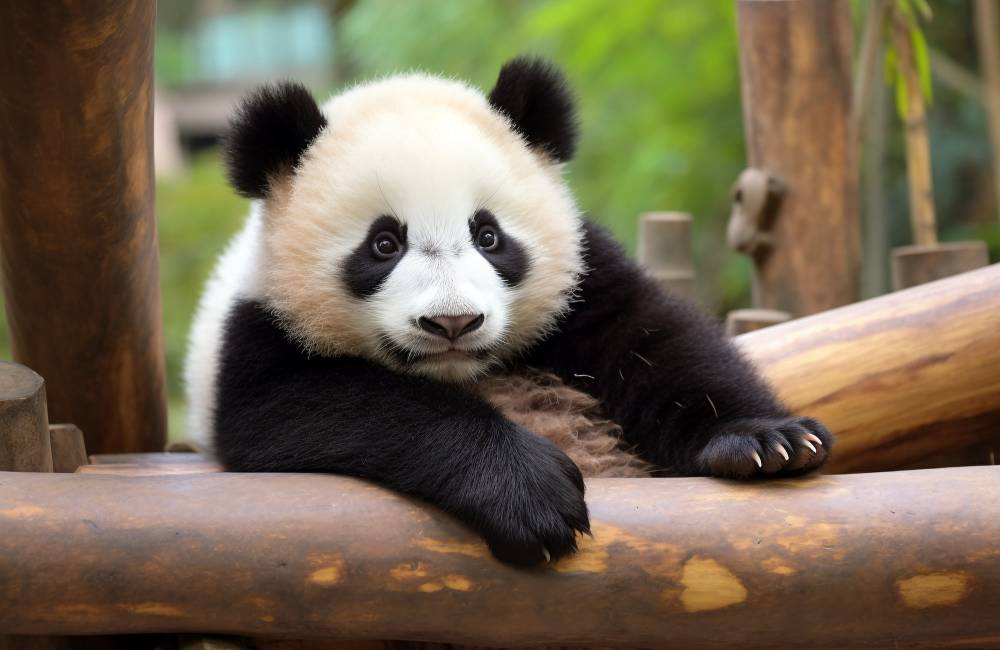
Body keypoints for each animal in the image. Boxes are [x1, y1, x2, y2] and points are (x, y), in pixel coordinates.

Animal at [184, 56, 832, 566]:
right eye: (384, 244)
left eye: (489, 236)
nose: (452, 322)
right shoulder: (259, 326)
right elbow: (301, 407)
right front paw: (528, 494)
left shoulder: (585, 280)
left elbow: (657, 343)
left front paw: (765, 441)